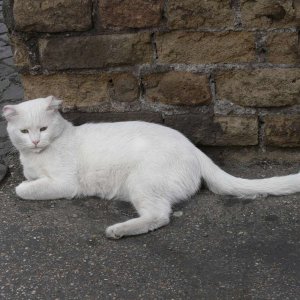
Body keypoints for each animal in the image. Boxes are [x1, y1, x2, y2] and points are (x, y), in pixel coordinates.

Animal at [2, 97, 300, 238]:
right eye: (25, 132)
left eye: (43, 129)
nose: (36, 141)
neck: (36, 156)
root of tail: (194, 149)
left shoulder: (65, 183)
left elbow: (23, 189)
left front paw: (25, 185)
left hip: (142, 182)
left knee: (159, 216)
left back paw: (118, 230)